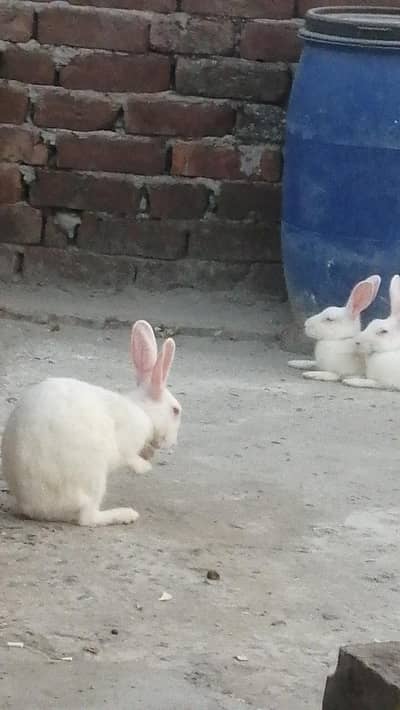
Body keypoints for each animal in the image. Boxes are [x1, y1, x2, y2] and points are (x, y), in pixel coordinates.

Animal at [1, 320, 182, 527]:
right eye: (175, 410)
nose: (173, 442)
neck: (144, 411)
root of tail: (37, 507)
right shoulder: (127, 443)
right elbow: (129, 458)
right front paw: (145, 467)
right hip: (93, 478)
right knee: (88, 518)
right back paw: (126, 514)